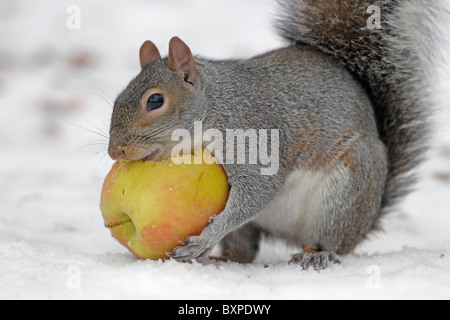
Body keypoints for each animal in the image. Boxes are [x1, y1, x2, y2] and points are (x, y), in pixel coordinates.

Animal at [107, 0, 448, 270]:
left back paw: (316, 255)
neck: (214, 107)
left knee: (333, 241)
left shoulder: (253, 138)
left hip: (346, 193)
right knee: (245, 248)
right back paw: (224, 259)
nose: (115, 151)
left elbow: (260, 189)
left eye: (155, 101)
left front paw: (207, 237)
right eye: (118, 97)